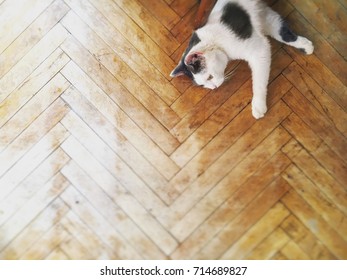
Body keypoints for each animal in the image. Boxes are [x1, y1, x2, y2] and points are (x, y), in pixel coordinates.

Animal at [171, 0, 316, 119]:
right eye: (203, 85)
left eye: (209, 77)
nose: (214, 88)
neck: (215, 41)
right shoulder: (264, 16)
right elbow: (283, 33)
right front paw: (306, 45)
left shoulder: (259, 50)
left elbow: (259, 81)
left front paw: (258, 105)